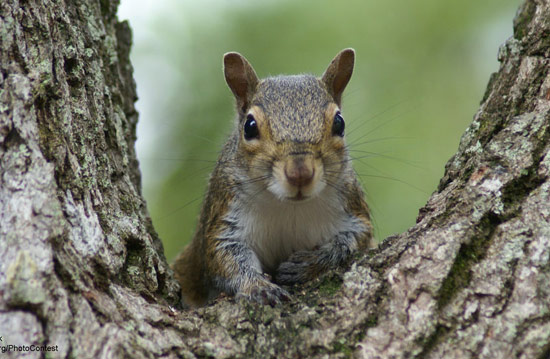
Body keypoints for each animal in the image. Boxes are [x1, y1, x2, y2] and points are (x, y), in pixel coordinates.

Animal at [175, 47, 378, 306]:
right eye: (249, 126)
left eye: (339, 123)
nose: (300, 173)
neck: (288, 206)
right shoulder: (224, 216)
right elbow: (225, 258)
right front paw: (258, 286)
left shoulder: (352, 207)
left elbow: (352, 241)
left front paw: (308, 263)